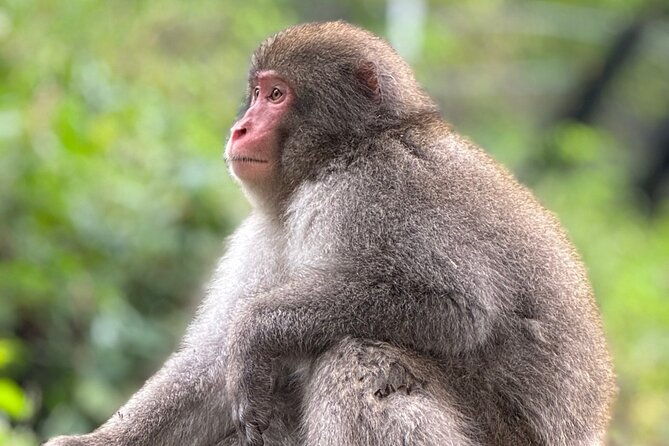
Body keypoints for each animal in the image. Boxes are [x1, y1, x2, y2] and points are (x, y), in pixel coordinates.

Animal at [44, 21, 615, 446]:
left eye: (277, 95)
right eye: (256, 93)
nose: (239, 129)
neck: (345, 151)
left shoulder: (373, 192)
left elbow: (455, 307)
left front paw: (255, 335)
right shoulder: (266, 231)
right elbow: (212, 363)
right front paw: (97, 441)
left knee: (359, 352)